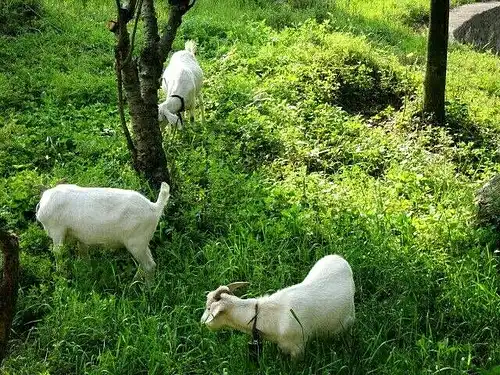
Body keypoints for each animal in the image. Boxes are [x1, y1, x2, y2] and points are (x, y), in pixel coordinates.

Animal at [35, 182, 171, 282]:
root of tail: (154, 207)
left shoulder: (57, 231)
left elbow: (58, 253)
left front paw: (59, 275)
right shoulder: (79, 236)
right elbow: (83, 252)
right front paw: (85, 269)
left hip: (136, 242)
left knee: (149, 265)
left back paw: (148, 288)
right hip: (143, 242)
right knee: (147, 263)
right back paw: (135, 281)